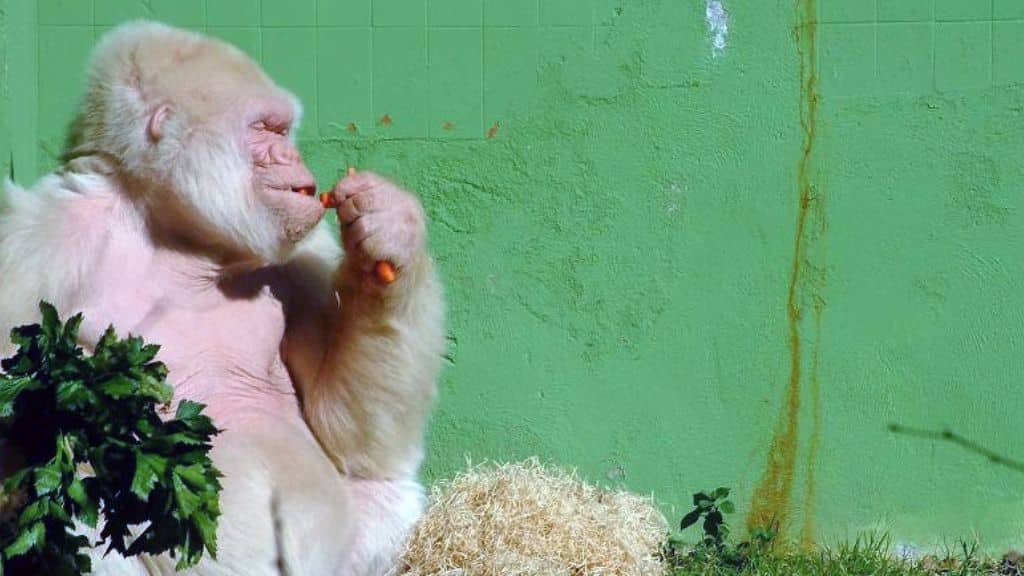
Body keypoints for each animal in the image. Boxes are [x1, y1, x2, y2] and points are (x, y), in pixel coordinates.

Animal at [0, 20, 444, 576]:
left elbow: (347, 432)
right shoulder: (37, 240)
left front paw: (390, 234)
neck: (172, 234)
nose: (293, 158)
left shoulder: (303, 253)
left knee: (384, 483)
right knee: (77, 513)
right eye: (266, 129)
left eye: (283, 132)